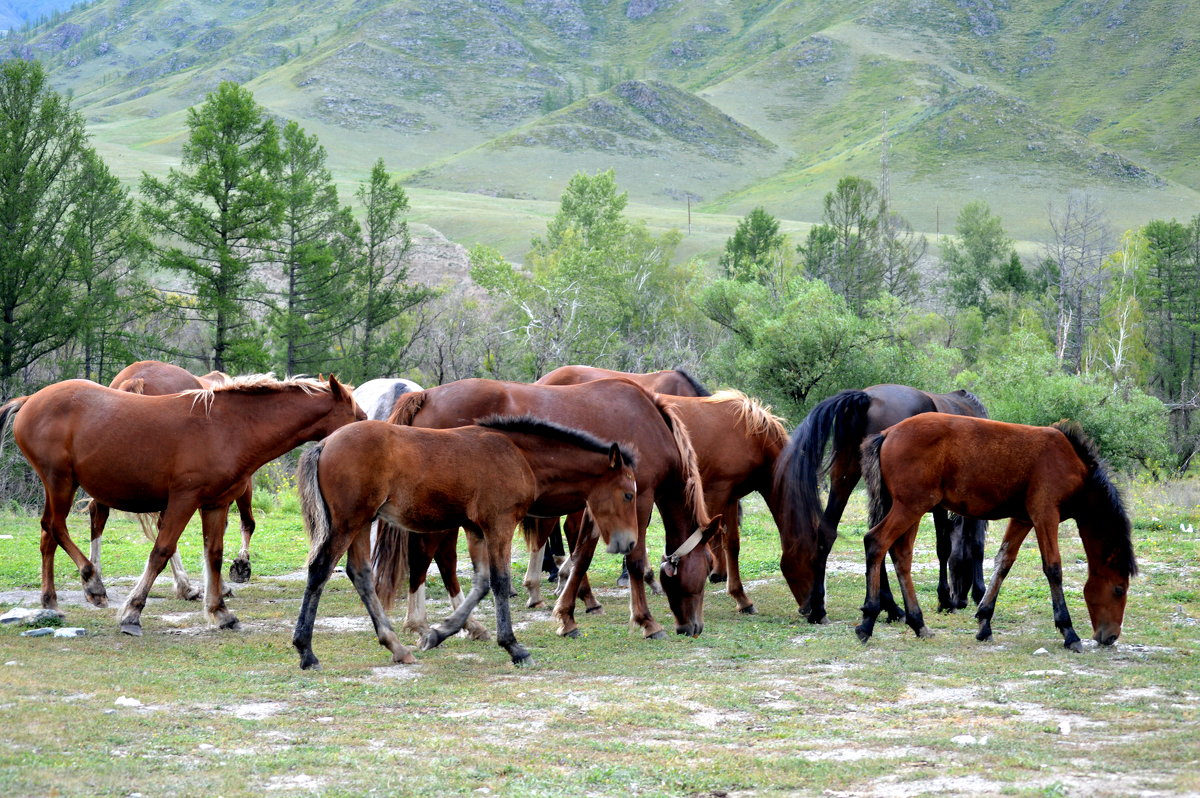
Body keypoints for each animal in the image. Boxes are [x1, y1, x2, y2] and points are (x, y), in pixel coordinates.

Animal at [0, 374, 362, 633]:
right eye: (357, 414)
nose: (369, 433)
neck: (229, 427)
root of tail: (30, 400)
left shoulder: (216, 504)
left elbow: (213, 555)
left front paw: (220, 612)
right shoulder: (183, 500)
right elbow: (161, 551)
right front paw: (132, 612)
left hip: (59, 486)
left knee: (48, 536)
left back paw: (51, 603)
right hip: (60, 481)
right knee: (55, 527)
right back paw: (93, 583)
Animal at [291, 412, 643, 667]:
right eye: (628, 494)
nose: (628, 543)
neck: (518, 456)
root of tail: (324, 444)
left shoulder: (476, 529)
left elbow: (482, 582)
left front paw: (438, 634)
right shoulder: (499, 524)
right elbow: (500, 581)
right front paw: (513, 647)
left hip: (363, 524)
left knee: (360, 574)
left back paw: (397, 647)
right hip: (348, 523)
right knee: (320, 570)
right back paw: (306, 652)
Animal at [379, 379, 715, 643]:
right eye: (708, 567)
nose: (694, 627)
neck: (649, 424)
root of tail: (425, 396)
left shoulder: (598, 507)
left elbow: (581, 555)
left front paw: (568, 615)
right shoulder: (639, 500)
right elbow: (630, 559)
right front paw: (646, 621)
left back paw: (461, 624)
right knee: (433, 556)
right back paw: (429, 623)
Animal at [772, 381, 988, 624]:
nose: (961, 600)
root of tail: (865, 397)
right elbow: (957, 545)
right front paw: (954, 598)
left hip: (845, 478)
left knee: (832, 533)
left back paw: (822, 609)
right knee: (883, 542)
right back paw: (891, 607)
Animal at [864, 412, 1132, 652]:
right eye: (1118, 590)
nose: (1110, 636)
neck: (1069, 461)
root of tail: (888, 433)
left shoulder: (1022, 519)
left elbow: (1003, 562)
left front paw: (984, 623)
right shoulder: (1045, 516)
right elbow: (1053, 568)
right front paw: (1069, 632)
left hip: (911, 509)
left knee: (902, 555)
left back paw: (918, 623)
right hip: (911, 507)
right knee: (876, 542)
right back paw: (868, 621)